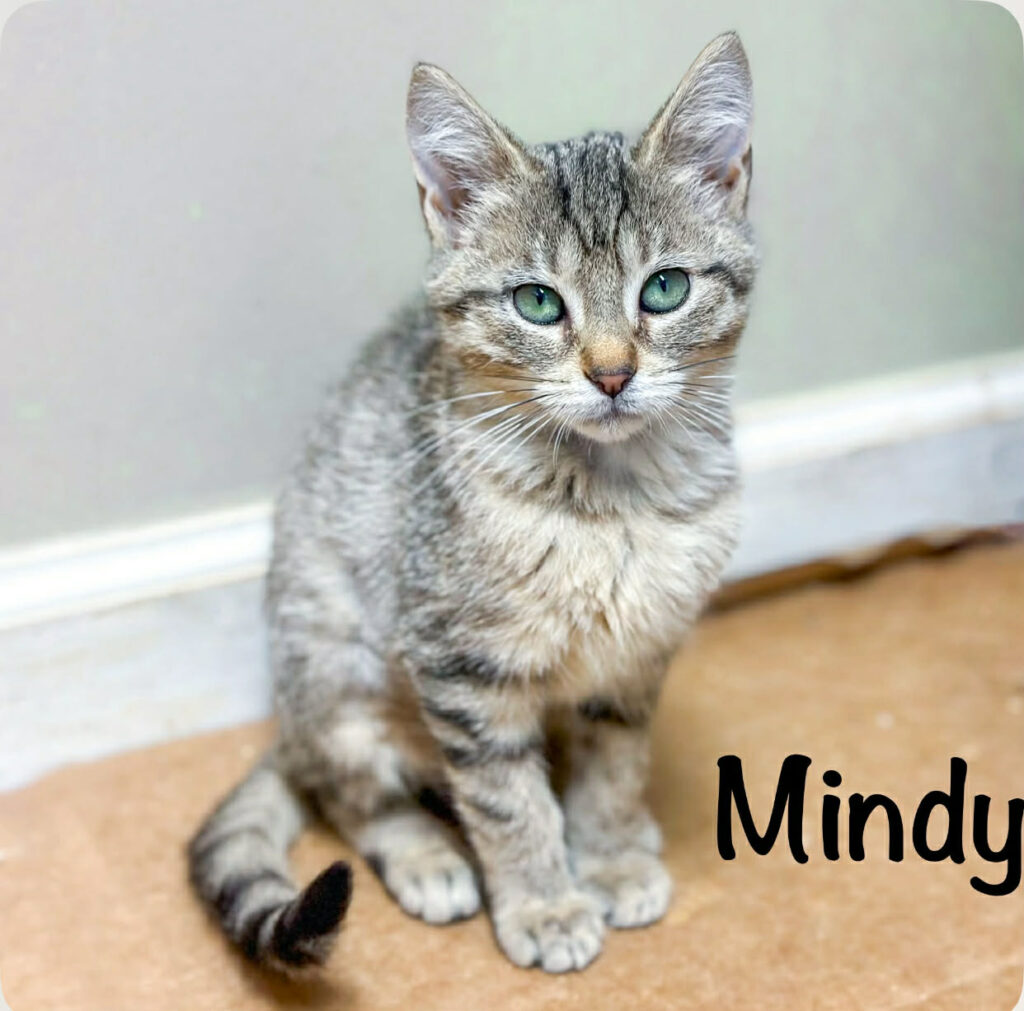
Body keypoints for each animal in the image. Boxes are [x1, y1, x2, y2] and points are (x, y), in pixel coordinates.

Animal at [189, 31, 757, 975]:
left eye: (665, 289)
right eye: (537, 302)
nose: (612, 373)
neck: (613, 504)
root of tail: (290, 726)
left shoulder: (635, 656)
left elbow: (613, 765)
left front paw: (608, 852)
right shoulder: (460, 664)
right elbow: (504, 796)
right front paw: (544, 903)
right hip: (334, 663)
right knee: (349, 793)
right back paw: (425, 853)